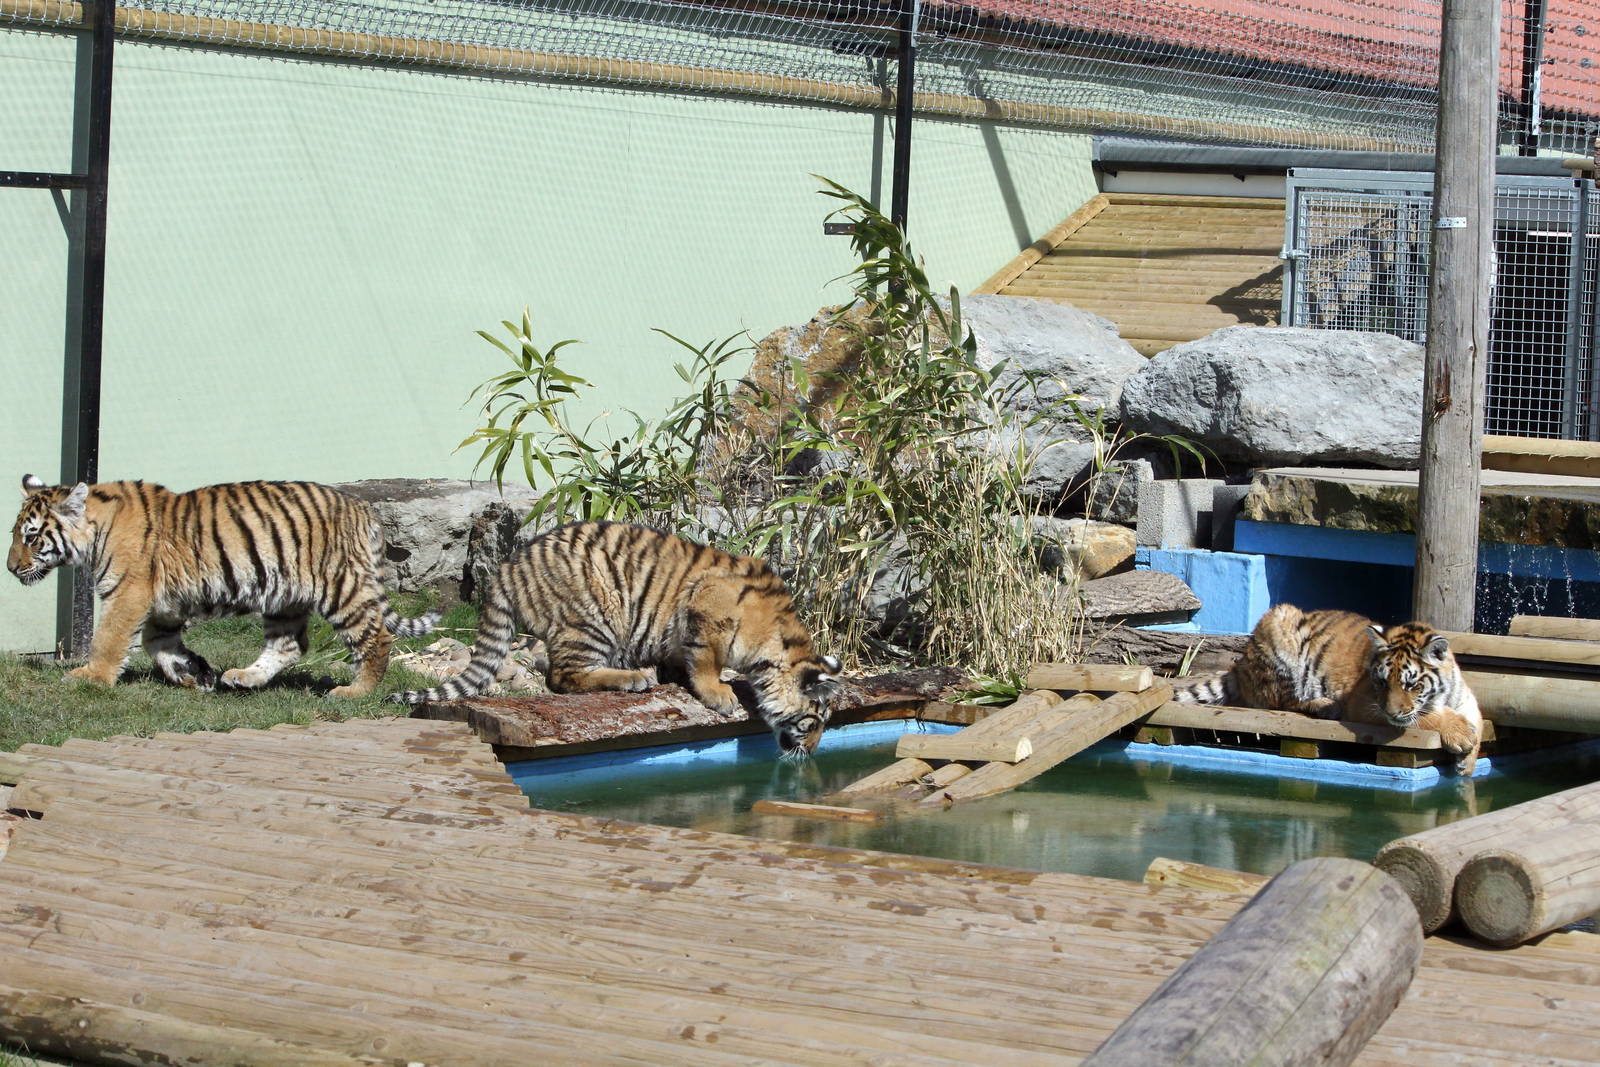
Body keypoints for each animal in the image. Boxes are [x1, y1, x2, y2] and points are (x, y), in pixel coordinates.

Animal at [7, 474, 438, 697]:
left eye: (31, 537)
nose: (11, 568)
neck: (94, 531)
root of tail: (362, 507)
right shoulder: (164, 604)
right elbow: (156, 642)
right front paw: (193, 673)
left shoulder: (128, 593)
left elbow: (110, 638)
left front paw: (91, 678)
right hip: (284, 597)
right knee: (289, 645)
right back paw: (244, 677)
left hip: (340, 586)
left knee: (376, 636)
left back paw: (355, 691)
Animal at [387, 520, 841, 755]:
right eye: (814, 721)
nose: (812, 752)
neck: (775, 645)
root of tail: (508, 565)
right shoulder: (707, 609)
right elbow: (706, 661)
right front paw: (720, 695)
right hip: (594, 616)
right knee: (562, 677)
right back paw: (633, 678)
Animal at [1172, 604, 1483, 774]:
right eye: (1382, 682)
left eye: (1411, 684)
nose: (1392, 712)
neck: (1440, 694)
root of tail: (1242, 662)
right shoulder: (1366, 704)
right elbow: (1428, 716)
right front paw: (1460, 736)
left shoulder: (1465, 698)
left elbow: (1477, 720)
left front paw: (1467, 765)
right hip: (1280, 625)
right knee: (1280, 702)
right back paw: (1326, 706)